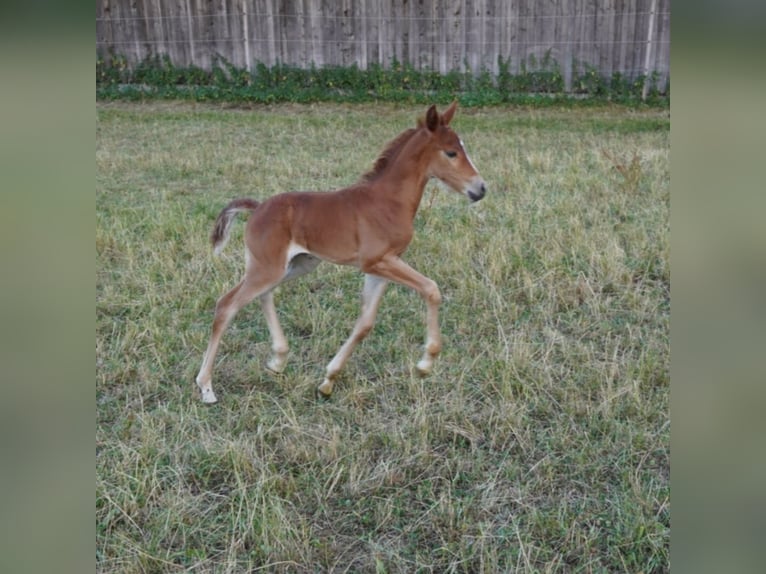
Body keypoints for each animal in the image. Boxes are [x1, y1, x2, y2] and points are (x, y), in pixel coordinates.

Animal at [195, 102, 486, 403]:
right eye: (451, 152)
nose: (480, 189)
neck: (389, 201)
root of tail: (258, 208)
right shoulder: (377, 261)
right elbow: (431, 289)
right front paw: (426, 363)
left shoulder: (382, 266)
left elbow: (365, 323)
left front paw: (328, 380)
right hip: (268, 268)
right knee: (227, 305)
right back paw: (206, 386)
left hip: (295, 265)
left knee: (264, 295)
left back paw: (278, 359)